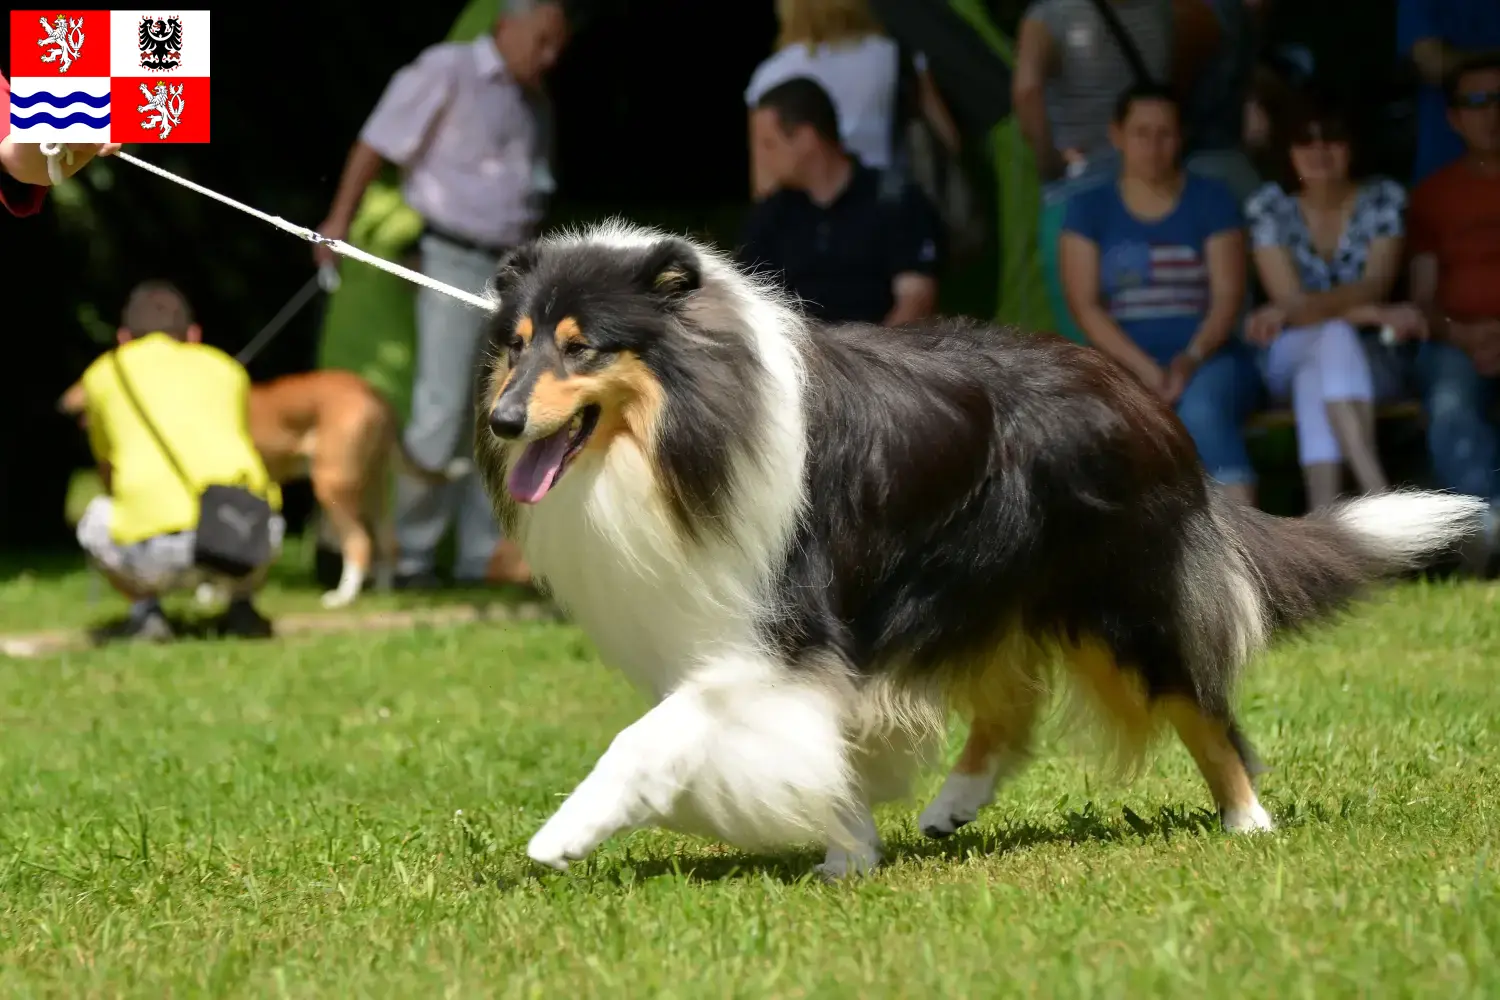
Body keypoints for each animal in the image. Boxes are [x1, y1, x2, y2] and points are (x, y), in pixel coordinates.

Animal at [60, 370, 474, 611]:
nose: (61, 405)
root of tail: (373, 391)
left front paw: (212, 595)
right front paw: (212, 594)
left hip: (333, 485)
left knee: (360, 542)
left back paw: (342, 597)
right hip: (371, 487)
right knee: (388, 541)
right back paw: (384, 594)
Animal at [474, 223, 1482, 881]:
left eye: (581, 347)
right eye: (515, 346)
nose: (503, 422)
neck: (692, 423)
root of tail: (1147, 398)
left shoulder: (781, 633)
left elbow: (649, 735)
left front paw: (563, 834)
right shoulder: (786, 644)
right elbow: (815, 752)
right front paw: (851, 854)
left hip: (1119, 599)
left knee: (1202, 709)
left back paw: (1249, 823)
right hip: (981, 591)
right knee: (1013, 704)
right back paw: (952, 806)